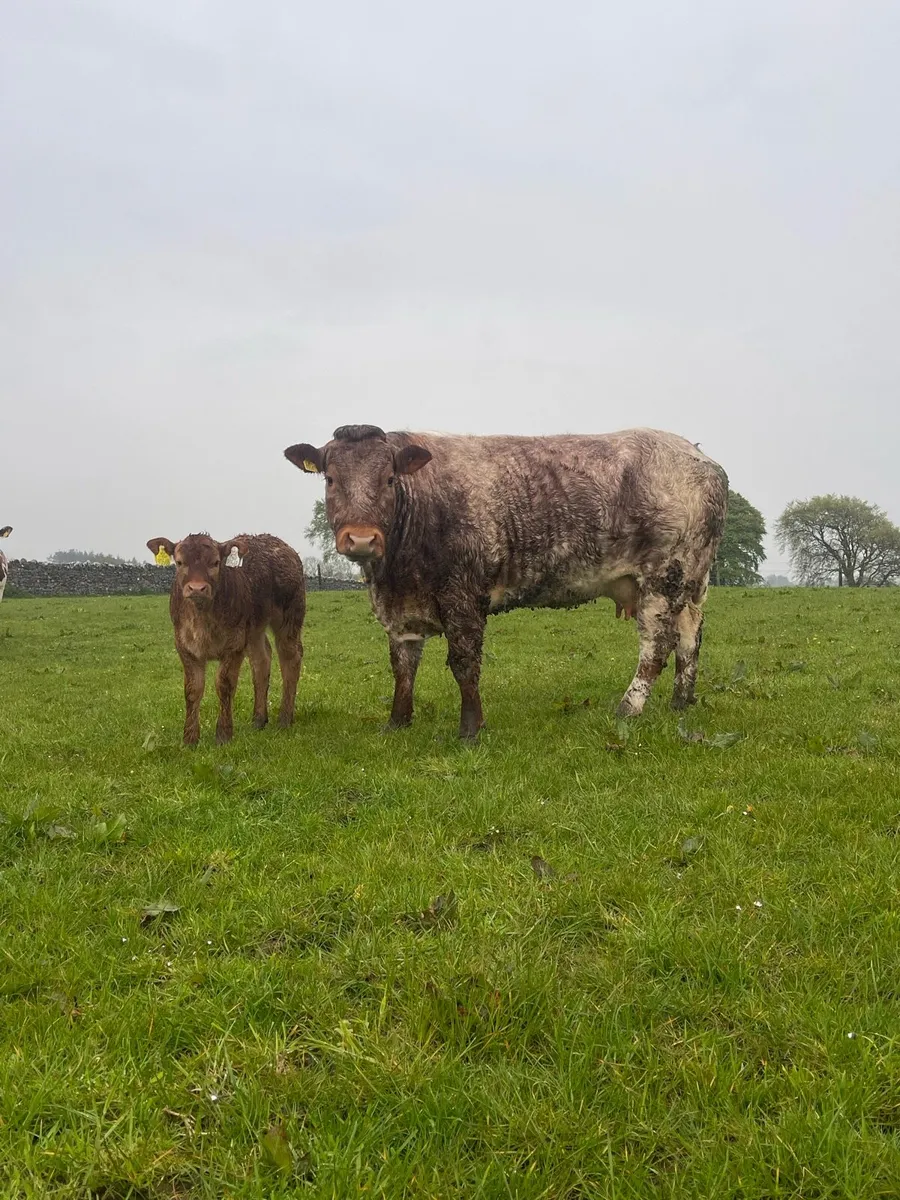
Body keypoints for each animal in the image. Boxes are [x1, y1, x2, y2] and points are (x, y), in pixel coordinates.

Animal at [146, 533, 305, 745]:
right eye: (179, 562)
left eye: (215, 562)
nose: (197, 588)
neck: (203, 620)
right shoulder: (184, 647)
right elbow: (192, 690)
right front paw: (189, 739)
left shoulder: (234, 645)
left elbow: (224, 685)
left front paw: (223, 734)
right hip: (254, 629)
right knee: (261, 660)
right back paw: (258, 719)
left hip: (289, 616)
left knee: (290, 659)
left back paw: (285, 718)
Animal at [285, 426, 727, 740]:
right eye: (330, 479)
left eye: (390, 479)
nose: (361, 538)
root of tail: (702, 459)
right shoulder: (401, 608)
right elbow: (403, 666)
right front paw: (397, 722)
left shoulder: (462, 596)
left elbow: (464, 663)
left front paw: (470, 729)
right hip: (690, 581)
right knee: (691, 636)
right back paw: (681, 701)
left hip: (664, 577)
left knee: (656, 646)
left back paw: (629, 708)